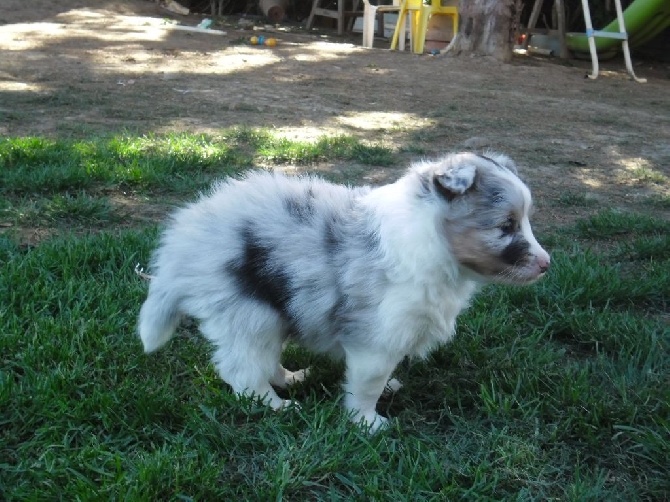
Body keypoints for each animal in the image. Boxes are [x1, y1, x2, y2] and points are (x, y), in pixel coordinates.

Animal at [138, 151, 552, 430]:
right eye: (505, 226)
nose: (546, 264)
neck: (429, 235)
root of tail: (182, 243)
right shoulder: (377, 337)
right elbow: (367, 383)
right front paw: (368, 423)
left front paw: (386, 391)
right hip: (248, 312)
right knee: (242, 369)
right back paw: (277, 406)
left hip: (271, 312)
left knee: (264, 359)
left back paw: (291, 378)